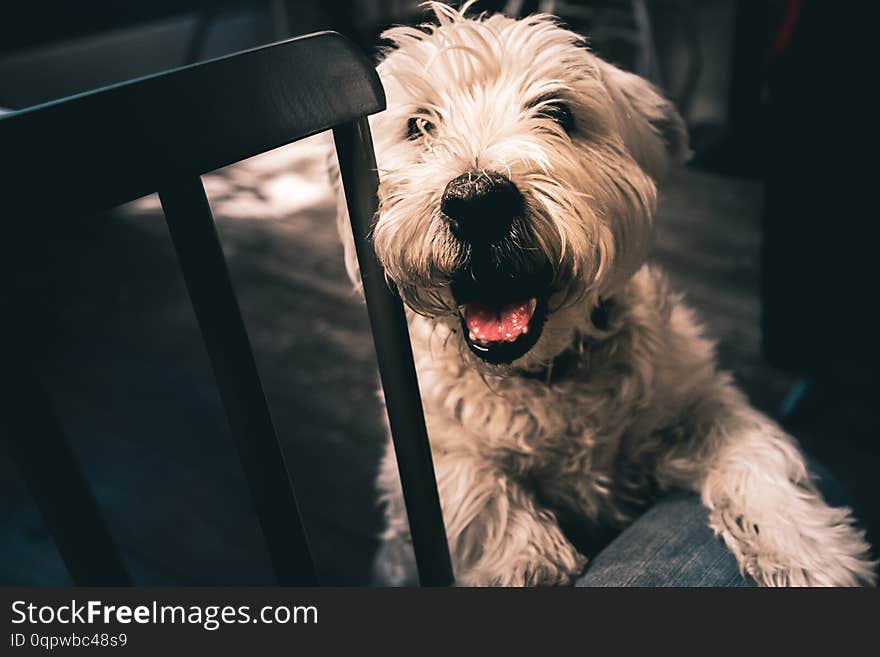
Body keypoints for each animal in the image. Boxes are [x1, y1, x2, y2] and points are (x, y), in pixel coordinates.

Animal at [336, 0, 872, 584]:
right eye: (419, 125)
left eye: (559, 113)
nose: (477, 201)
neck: (546, 378)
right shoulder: (423, 451)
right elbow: (472, 484)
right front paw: (528, 558)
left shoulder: (702, 401)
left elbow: (756, 454)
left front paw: (809, 552)